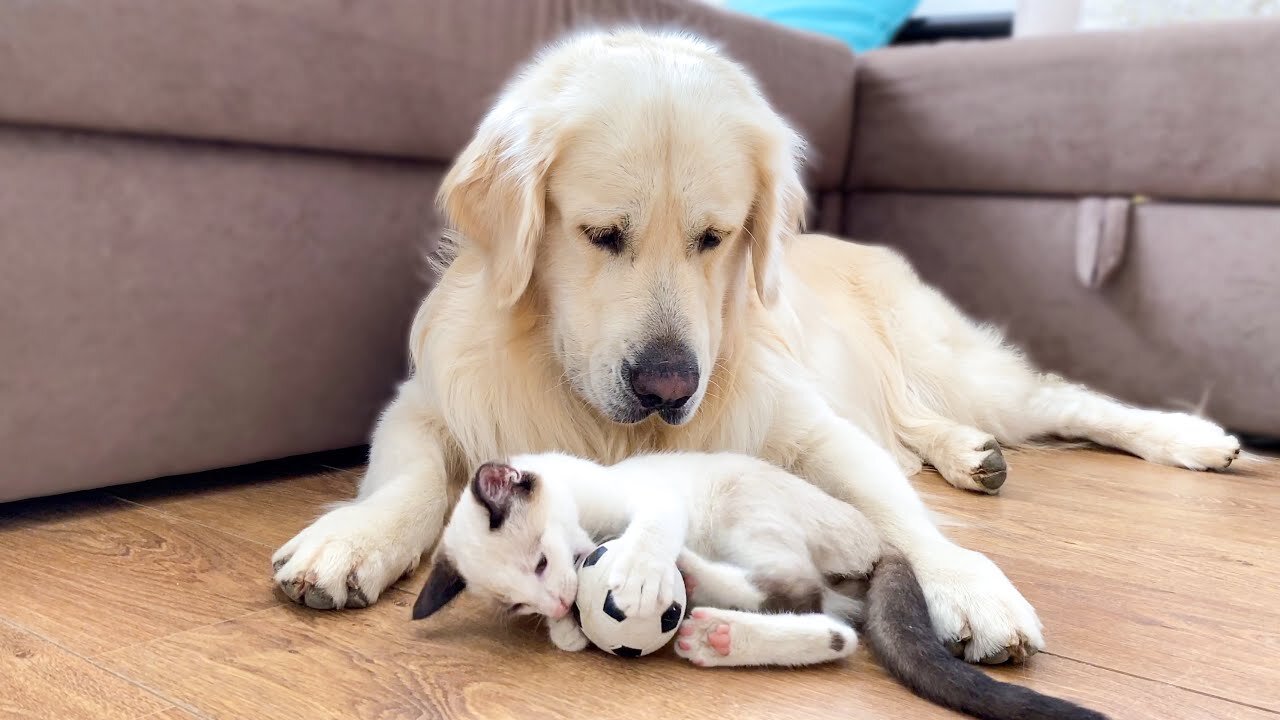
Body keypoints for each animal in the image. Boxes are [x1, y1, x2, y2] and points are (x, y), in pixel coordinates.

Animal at [270, 32, 1239, 661]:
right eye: (601, 234)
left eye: (716, 237)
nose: (667, 386)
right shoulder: (430, 401)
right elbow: (409, 477)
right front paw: (347, 541)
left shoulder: (809, 427)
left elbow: (893, 510)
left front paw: (967, 585)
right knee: (926, 424)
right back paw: (971, 454)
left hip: (959, 363)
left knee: (1066, 399)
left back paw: (1194, 440)